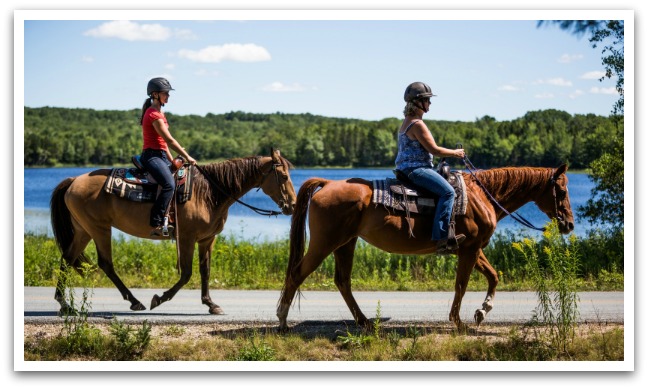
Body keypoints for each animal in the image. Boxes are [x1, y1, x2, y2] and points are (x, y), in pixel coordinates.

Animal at [51, 149, 296, 316]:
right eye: (284, 177)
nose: (292, 205)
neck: (209, 192)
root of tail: (73, 181)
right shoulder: (186, 238)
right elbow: (186, 274)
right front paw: (159, 298)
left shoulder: (207, 239)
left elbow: (205, 271)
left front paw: (211, 304)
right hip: (99, 229)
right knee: (105, 263)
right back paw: (134, 301)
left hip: (83, 230)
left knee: (67, 258)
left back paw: (65, 304)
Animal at [276, 164, 576, 330]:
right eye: (561, 191)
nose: (570, 224)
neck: (482, 196)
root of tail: (327, 183)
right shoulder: (469, 250)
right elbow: (461, 284)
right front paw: (458, 321)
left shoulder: (473, 248)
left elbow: (493, 276)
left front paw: (482, 311)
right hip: (324, 243)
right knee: (296, 274)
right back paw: (282, 321)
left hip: (346, 243)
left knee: (342, 281)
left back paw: (364, 321)